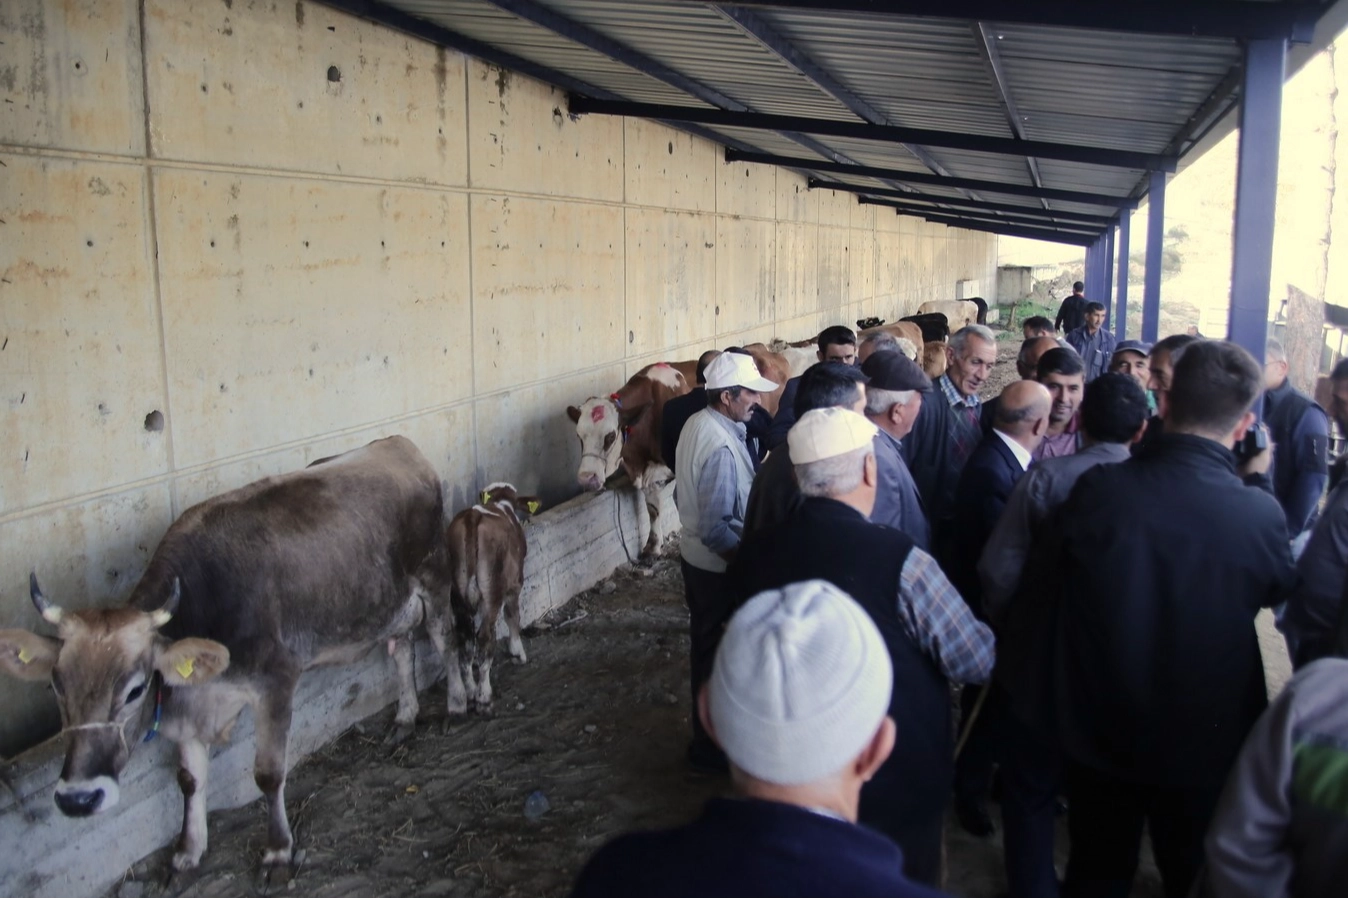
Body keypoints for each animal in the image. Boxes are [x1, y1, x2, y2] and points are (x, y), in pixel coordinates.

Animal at [450, 485, 539, 711]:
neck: (500, 503)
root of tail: (472, 516)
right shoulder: (515, 583)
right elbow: (512, 615)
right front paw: (518, 652)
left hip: (457, 594)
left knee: (464, 637)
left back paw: (471, 690)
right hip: (493, 591)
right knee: (485, 636)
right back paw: (484, 693)